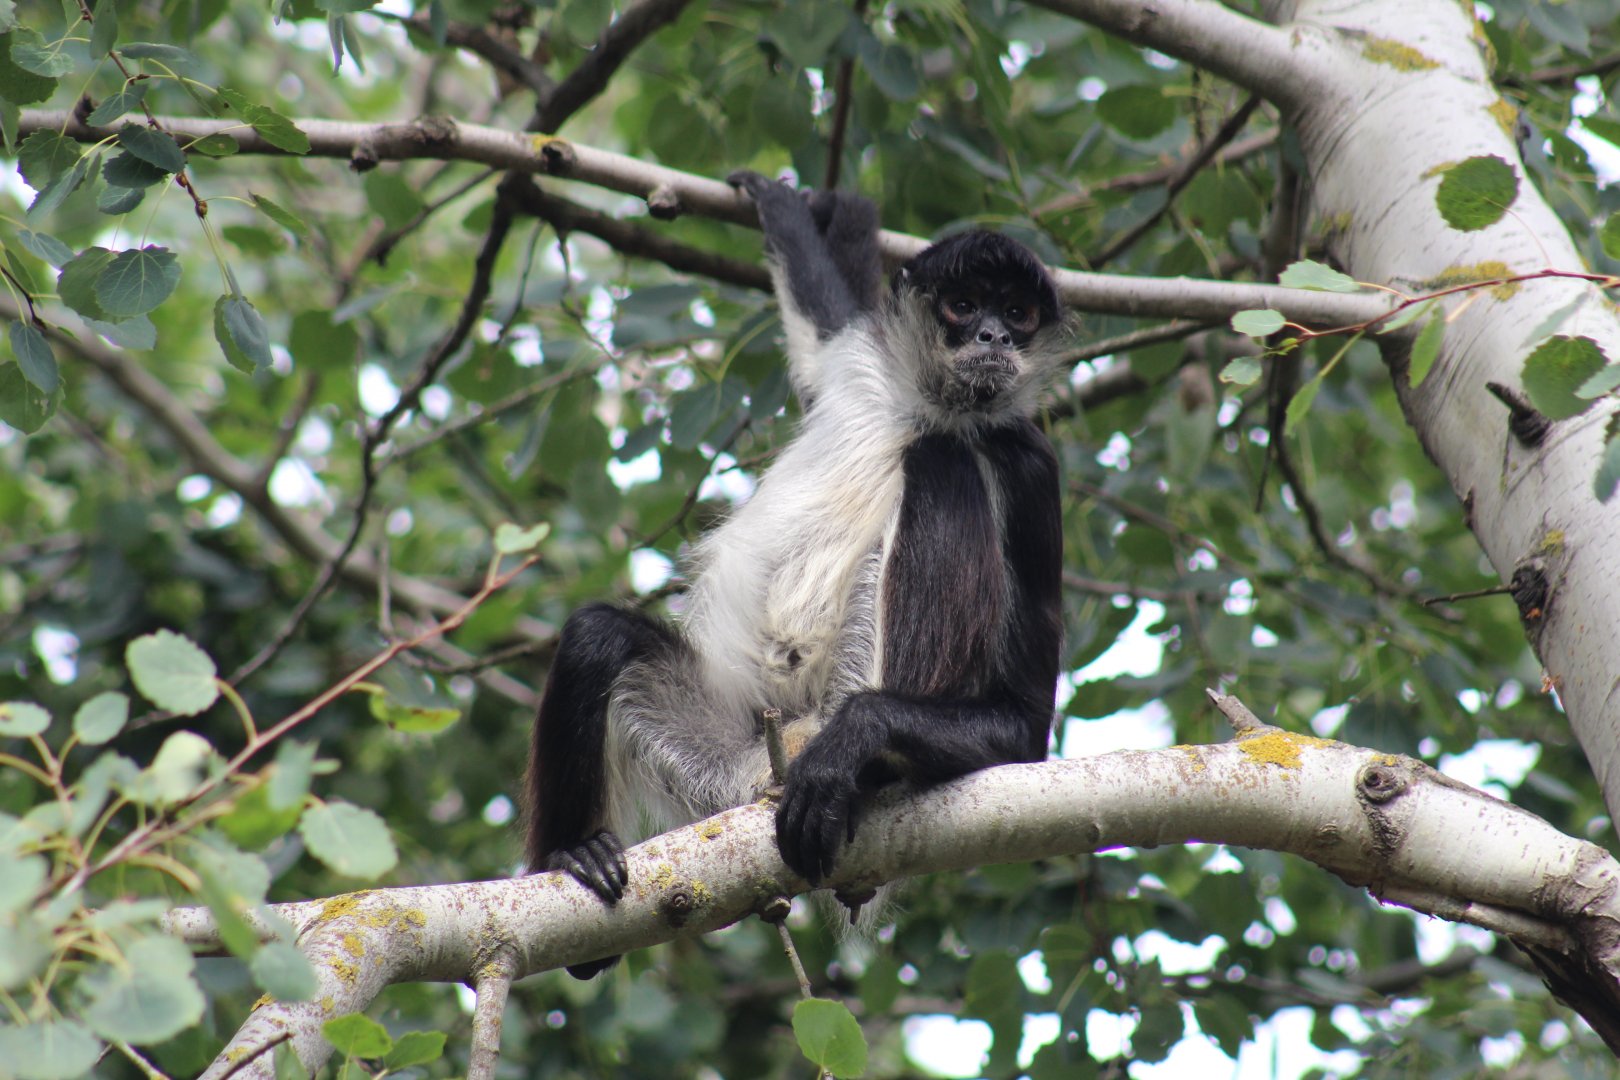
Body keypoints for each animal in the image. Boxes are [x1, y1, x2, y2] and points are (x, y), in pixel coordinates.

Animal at [524, 171, 1068, 976]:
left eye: (1020, 314)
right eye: (965, 306)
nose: (995, 338)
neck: (926, 408)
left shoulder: (1031, 463)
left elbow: (1024, 726)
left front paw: (859, 737)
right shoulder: (861, 363)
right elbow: (822, 321)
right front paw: (794, 207)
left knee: (942, 466)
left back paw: (866, 764)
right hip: (724, 756)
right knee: (598, 639)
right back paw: (574, 859)